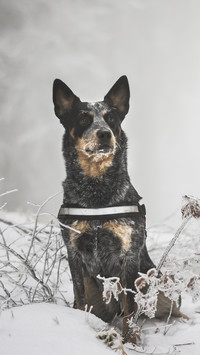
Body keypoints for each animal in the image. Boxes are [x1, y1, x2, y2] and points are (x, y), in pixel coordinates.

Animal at [52, 76, 184, 344]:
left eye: (111, 118)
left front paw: (131, 341)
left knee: (168, 310)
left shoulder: (128, 254)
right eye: (83, 118)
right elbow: (79, 297)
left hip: (160, 280)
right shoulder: (73, 251)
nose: (104, 133)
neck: (96, 191)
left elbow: (130, 306)